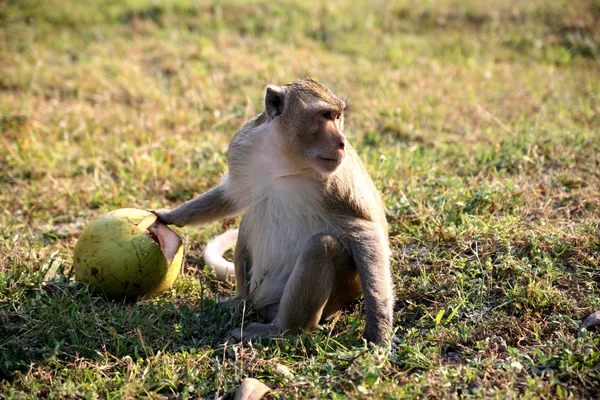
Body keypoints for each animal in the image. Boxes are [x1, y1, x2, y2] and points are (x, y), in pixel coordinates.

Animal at [150, 78, 394, 344]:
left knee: (321, 247)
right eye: (326, 116)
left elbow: (365, 232)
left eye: (338, 116)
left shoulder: (338, 181)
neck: (287, 158)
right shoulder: (242, 146)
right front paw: (170, 215)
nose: (341, 142)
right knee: (250, 220)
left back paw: (281, 330)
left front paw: (378, 332)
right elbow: (230, 194)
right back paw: (241, 302)